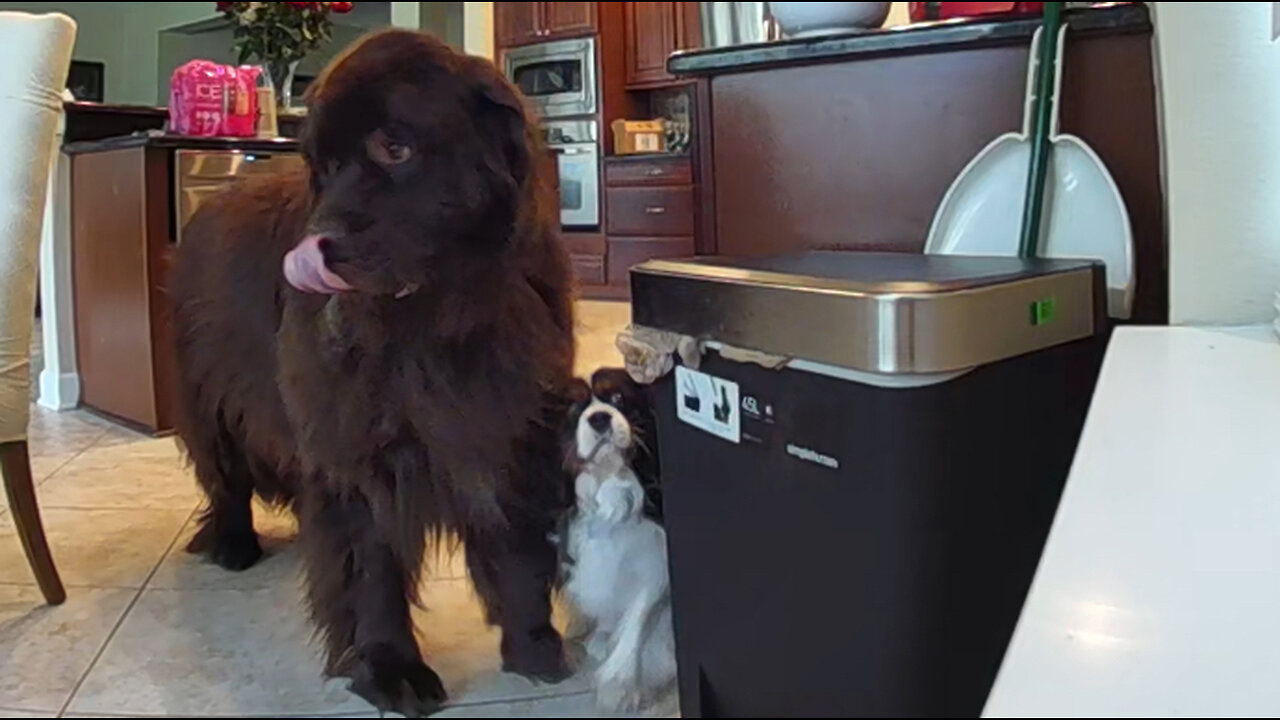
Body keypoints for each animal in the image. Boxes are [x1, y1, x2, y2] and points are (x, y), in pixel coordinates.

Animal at [168, 26, 576, 712]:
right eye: (326, 167)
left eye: (394, 148)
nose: (314, 247)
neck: (435, 325)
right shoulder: (354, 454)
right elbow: (370, 572)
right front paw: (390, 668)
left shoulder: (508, 427)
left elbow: (515, 548)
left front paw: (533, 645)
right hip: (209, 405)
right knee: (226, 482)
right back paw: (232, 543)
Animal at [560, 371, 680, 707]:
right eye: (574, 407)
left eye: (617, 398)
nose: (599, 418)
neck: (609, 482)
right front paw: (603, 635)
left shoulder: (656, 554)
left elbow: (638, 616)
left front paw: (619, 684)